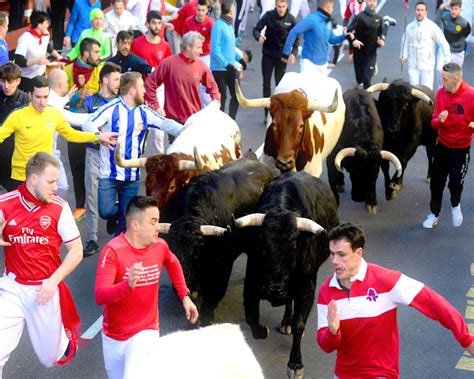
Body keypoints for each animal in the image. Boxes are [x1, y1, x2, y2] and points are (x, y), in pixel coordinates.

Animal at [232, 173, 336, 379]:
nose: (275, 290)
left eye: (294, 249)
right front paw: (261, 331)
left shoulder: (306, 288)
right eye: (262, 247)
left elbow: (299, 323)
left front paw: (295, 364)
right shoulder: (251, 284)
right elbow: (251, 316)